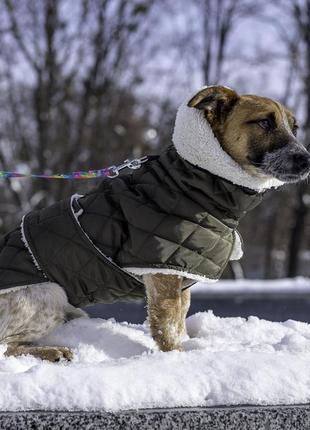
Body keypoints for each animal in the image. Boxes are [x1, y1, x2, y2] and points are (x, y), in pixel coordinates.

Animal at [0, 85, 310, 362]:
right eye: (265, 122)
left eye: (295, 128)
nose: (307, 160)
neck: (194, 184)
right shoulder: (163, 276)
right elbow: (167, 329)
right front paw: (178, 359)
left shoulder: (181, 279)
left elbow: (181, 320)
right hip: (49, 295)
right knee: (6, 346)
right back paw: (52, 352)